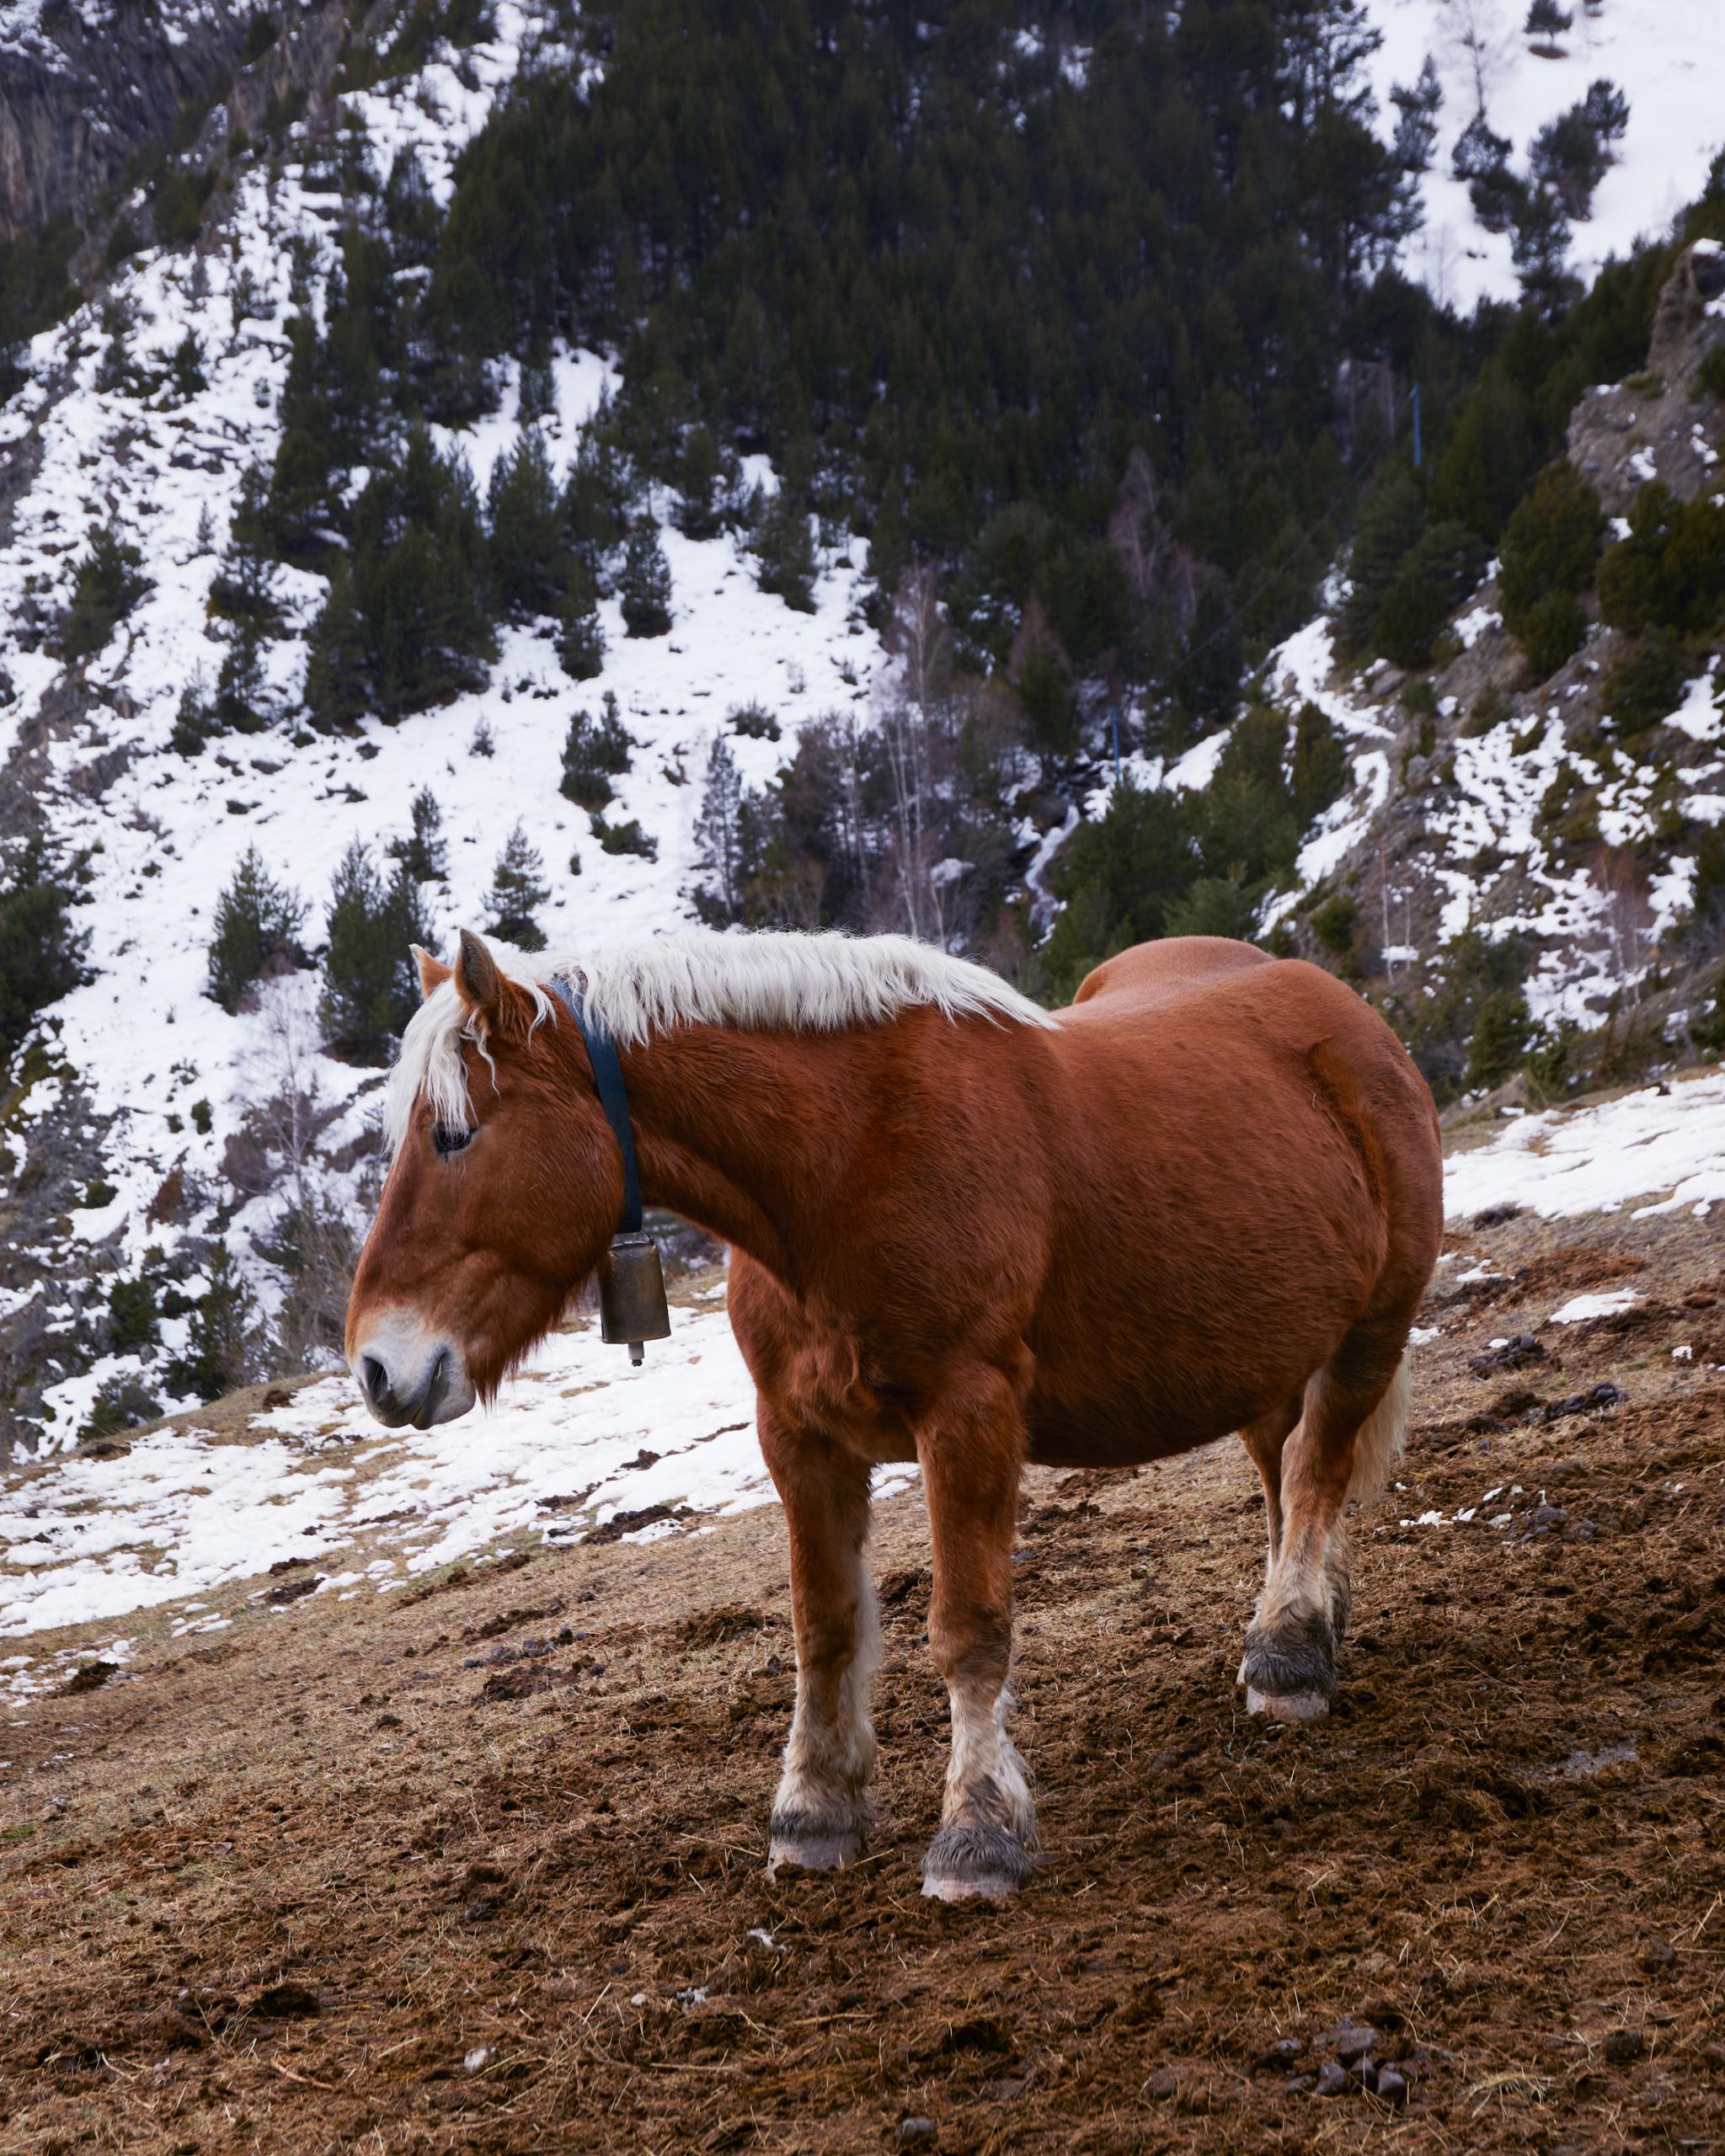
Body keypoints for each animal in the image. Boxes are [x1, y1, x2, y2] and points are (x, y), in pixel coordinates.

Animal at [347, 927, 1442, 1903]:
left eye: (453, 1134)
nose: (377, 1367)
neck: (845, 1159)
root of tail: (1345, 1016)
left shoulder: (968, 1415)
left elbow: (968, 1630)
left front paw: (977, 1836)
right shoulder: (798, 1437)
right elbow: (824, 1627)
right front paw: (813, 1814)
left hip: (1367, 1332)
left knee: (1315, 1470)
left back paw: (1288, 1654)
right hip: (1262, 1355)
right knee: (1286, 1481)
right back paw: (1302, 1628)